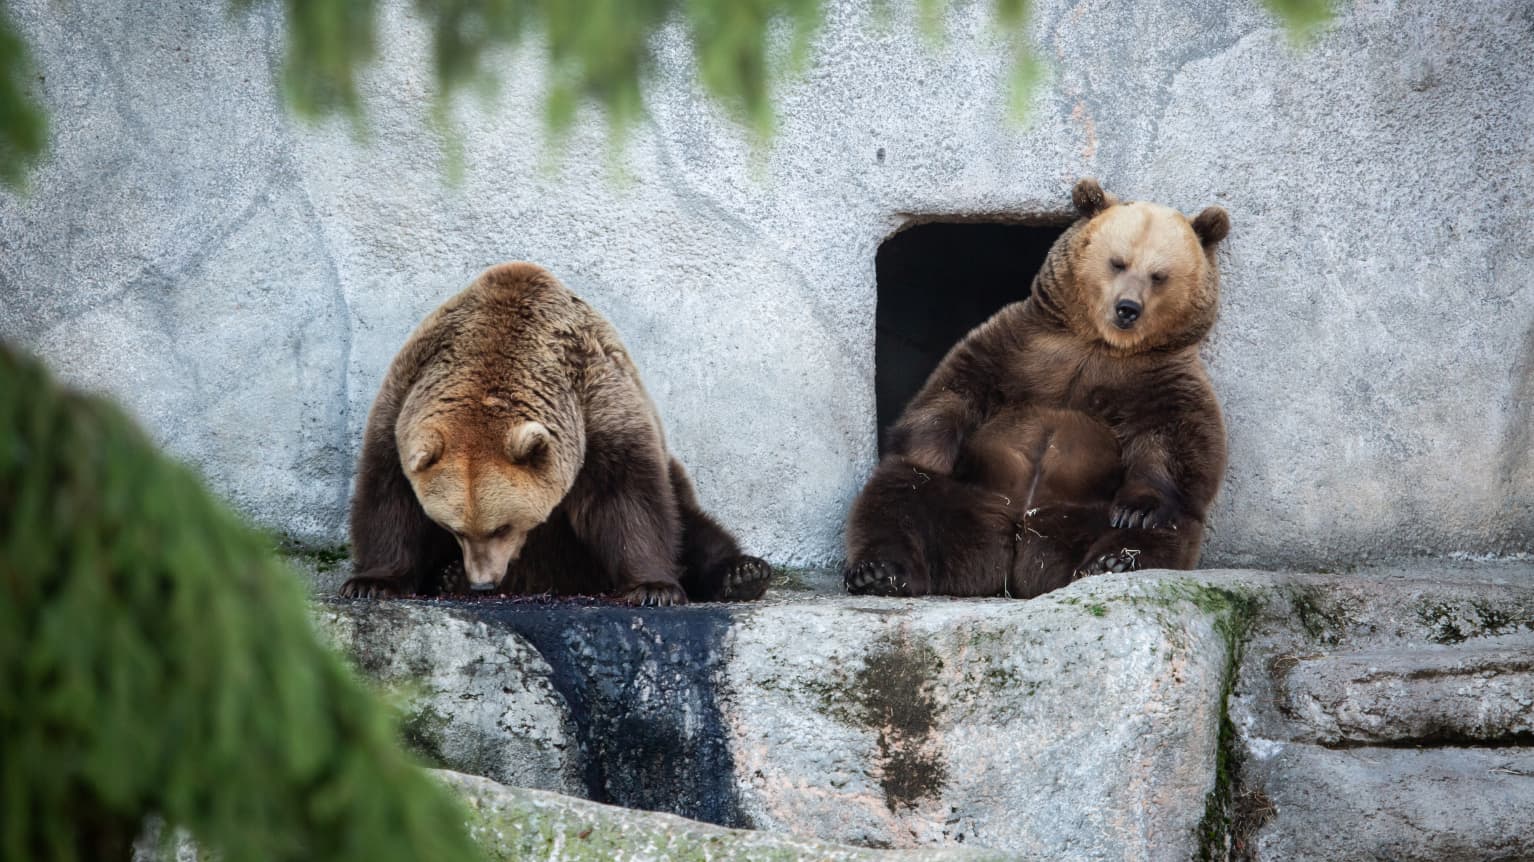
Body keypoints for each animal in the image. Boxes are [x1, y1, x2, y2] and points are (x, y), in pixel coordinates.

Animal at [335, 262, 767, 604]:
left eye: (503, 527)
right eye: (452, 528)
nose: (483, 582)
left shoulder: (595, 408)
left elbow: (629, 498)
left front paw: (652, 588)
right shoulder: (402, 405)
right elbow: (389, 499)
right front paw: (370, 582)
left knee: (694, 525)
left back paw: (743, 573)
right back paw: (447, 576)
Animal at [846, 179, 1227, 598]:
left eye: (1159, 275)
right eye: (1118, 262)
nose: (1127, 307)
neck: (1100, 344)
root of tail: (1015, 548)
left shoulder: (1160, 378)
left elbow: (1175, 443)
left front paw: (1136, 510)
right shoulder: (1024, 346)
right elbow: (955, 391)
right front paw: (932, 450)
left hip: (1079, 514)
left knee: (1169, 528)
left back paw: (1110, 562)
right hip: (968, 497)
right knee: (897, 495)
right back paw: (878, 571)